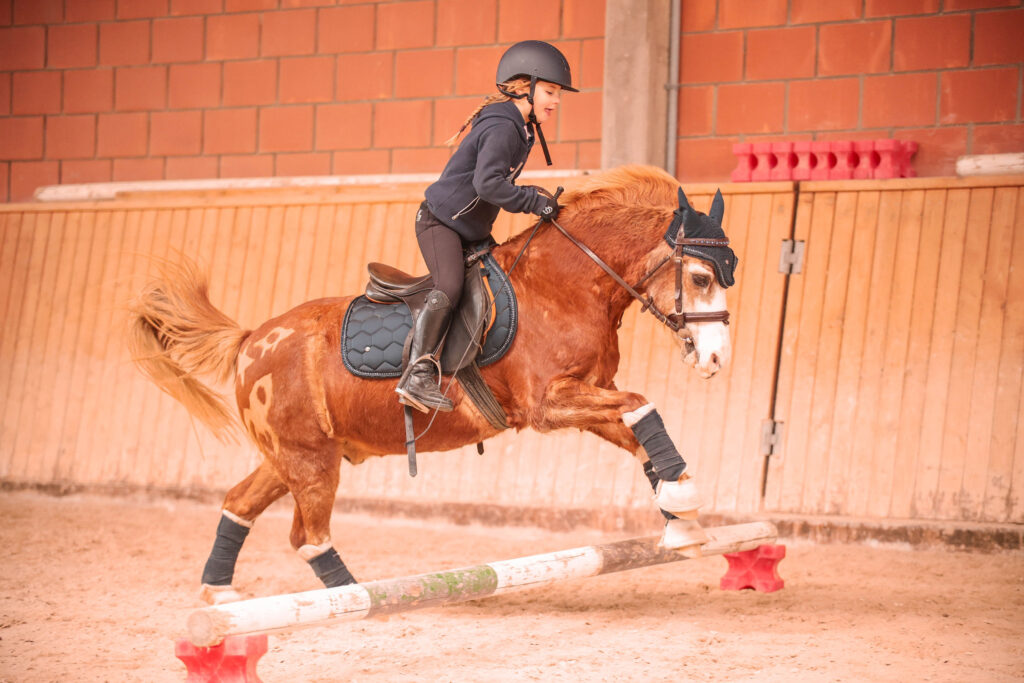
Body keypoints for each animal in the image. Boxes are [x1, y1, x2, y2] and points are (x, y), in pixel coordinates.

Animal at [130, 165, 737, 602]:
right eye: (700, 277)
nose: (715, 359)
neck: (563, 284)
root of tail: (252, 338)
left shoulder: (588, 397)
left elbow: (640, 431)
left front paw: (679, 515)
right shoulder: (548, 404)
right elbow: (642, 405)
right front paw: (681, 502)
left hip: (294, 455)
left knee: (240, 503)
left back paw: (220, 594)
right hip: (308, 460)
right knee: (308, 537)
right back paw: (359, 601)